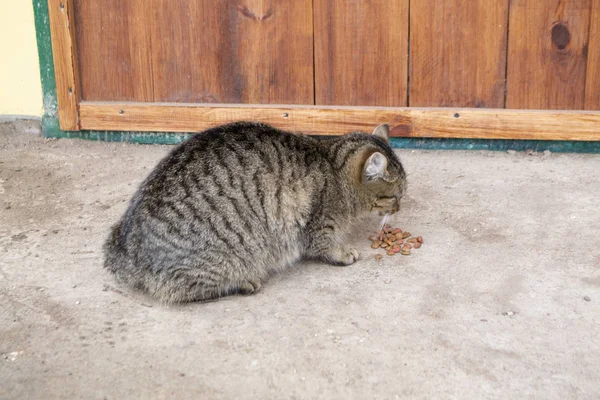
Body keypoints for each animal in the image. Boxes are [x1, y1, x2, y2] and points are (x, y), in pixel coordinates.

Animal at [103, 122, 408, 304]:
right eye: (396, 196)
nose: (399, 207)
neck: (332, 167)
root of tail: (125, 249)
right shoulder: (318, 224)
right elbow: (324, 245)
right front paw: (343, 253)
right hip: (222, 258)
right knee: (180, 291)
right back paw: (242, 283)